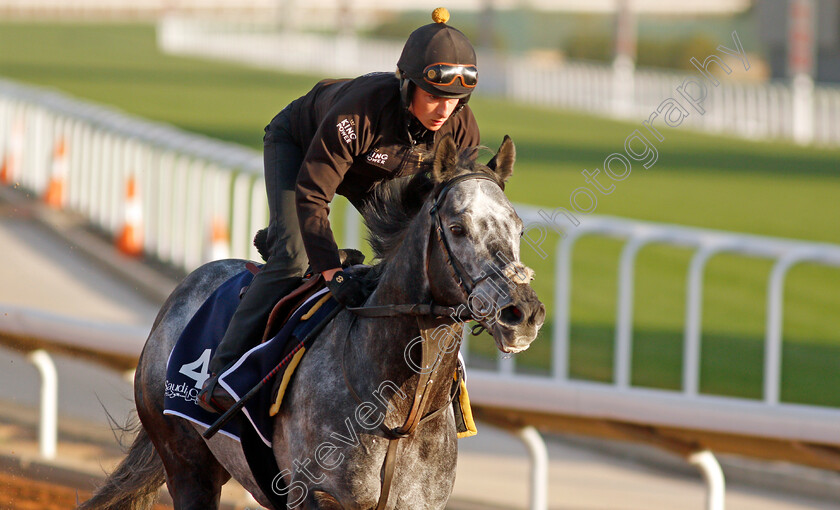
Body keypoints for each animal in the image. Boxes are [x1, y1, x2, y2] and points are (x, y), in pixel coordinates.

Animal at [80, 135, 544, 510]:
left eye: (518, 228)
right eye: (458, 227)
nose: (522, 313)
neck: (398, 409)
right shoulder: (317, 495)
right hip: (186, 463)